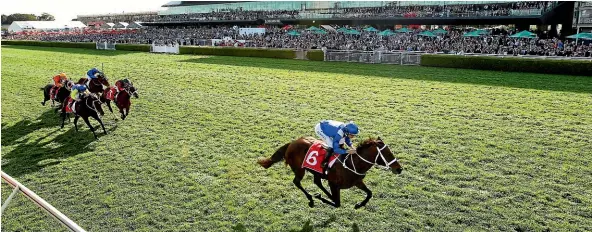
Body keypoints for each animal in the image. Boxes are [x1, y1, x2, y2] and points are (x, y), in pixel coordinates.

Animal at [258, 136, 402, 208]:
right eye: (387, 154)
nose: (399, 169)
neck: (351, 164)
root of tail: (292, 143)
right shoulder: (334, 184)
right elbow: (337, 204)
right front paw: (320, 197)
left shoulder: (357, 181)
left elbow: (370, 193)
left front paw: (359, 204)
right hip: (299, 169)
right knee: (297, 182)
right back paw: (311, 198)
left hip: (315, 171)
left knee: (317, 181)